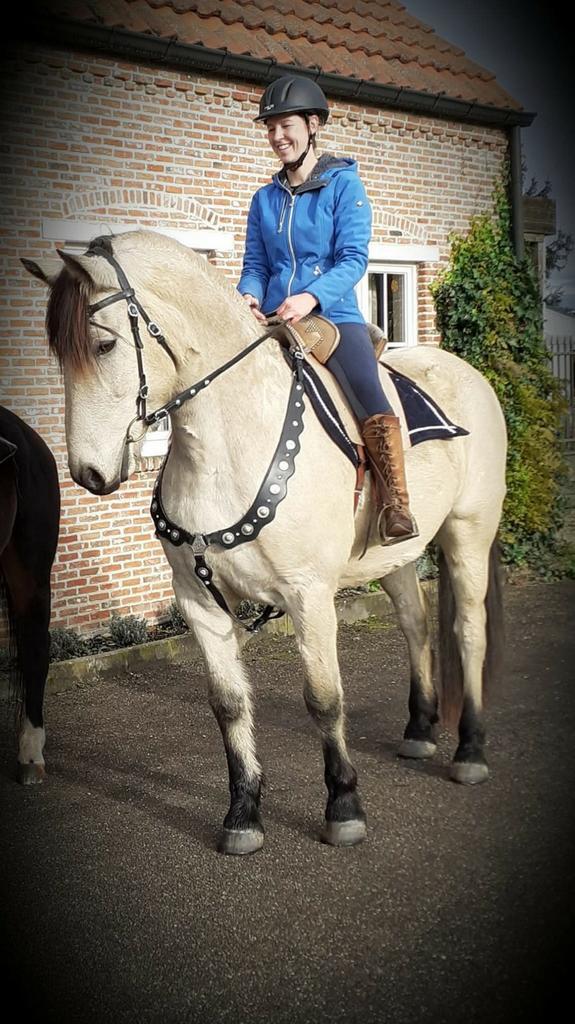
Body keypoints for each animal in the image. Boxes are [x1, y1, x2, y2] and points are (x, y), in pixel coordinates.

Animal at [23, 230, 506, 854]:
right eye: (59, 354)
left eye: (104, 345)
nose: (89, 473)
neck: (226, 444)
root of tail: (469, 374)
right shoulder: (199, 602)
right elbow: (229, 704)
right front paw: (244, 814)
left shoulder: (309, 596)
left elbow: (324, 699)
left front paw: (344, 806)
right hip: (393, 556)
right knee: (416, 625)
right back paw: (420, 729)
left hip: (469, 534)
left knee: (469, 631)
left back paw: (469, 750)